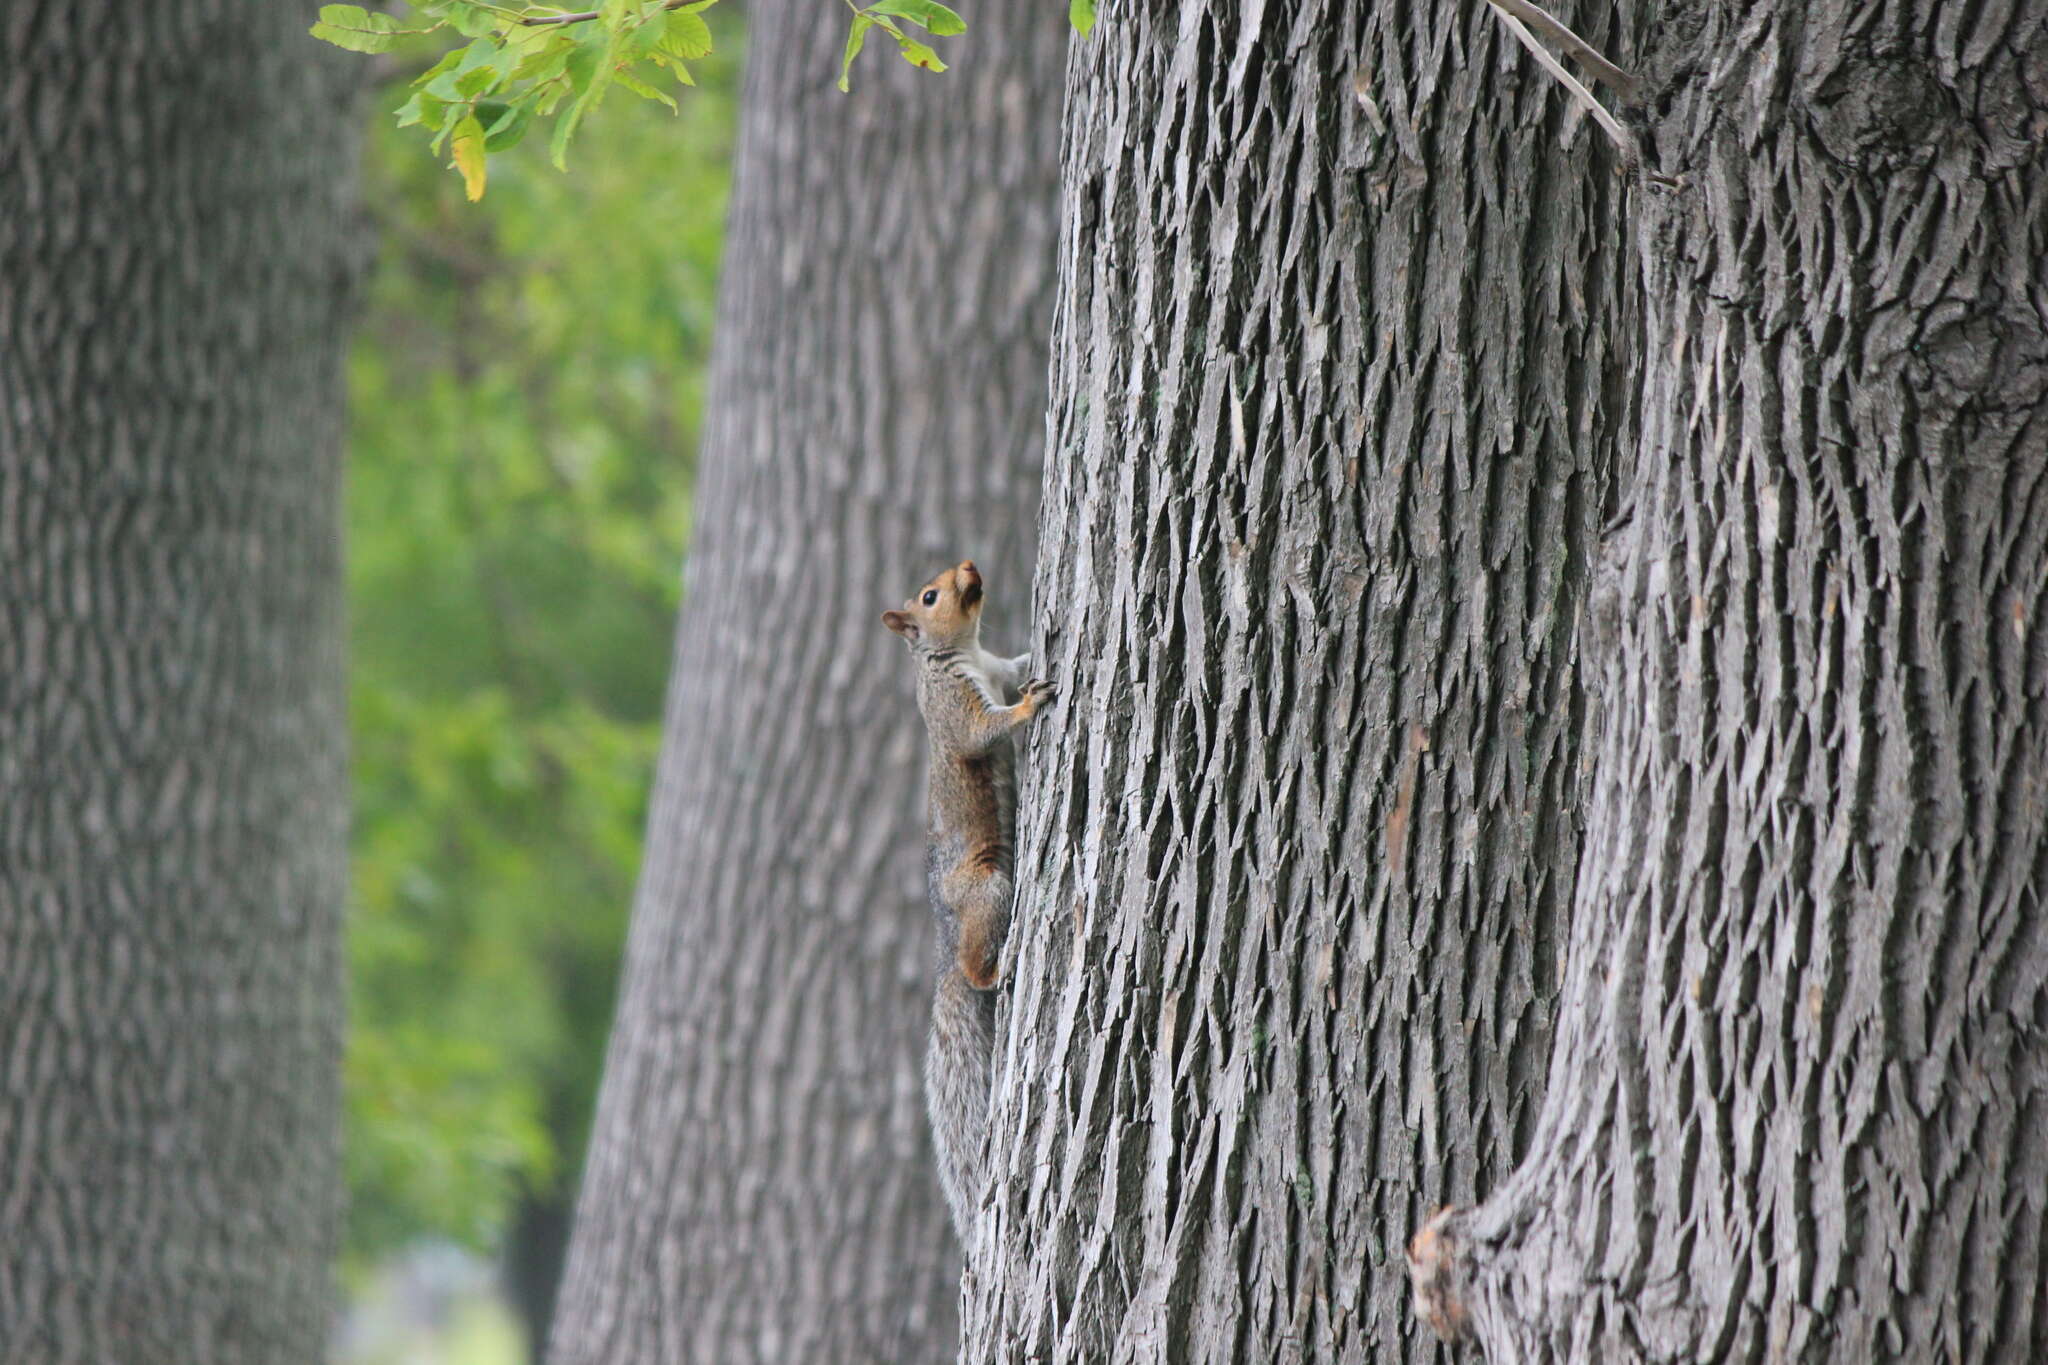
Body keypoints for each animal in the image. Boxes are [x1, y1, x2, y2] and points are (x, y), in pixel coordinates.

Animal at [880, 556, 1056, 1236]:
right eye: (929, 597)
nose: (971, 566)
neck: (966, 652)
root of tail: (946, 941)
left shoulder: (997, 666)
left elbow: (1018, 662)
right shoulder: (954, 707)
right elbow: (985, 731)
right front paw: (1031, 705)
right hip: (987, 887)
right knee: (977, 966)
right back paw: (997, 969)